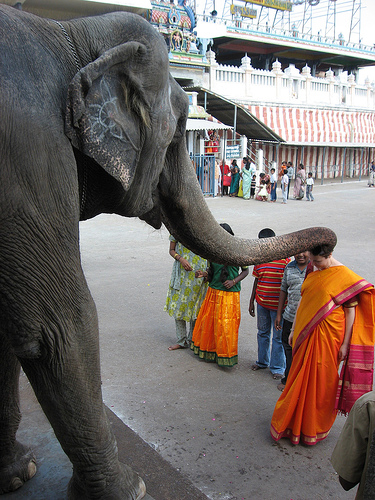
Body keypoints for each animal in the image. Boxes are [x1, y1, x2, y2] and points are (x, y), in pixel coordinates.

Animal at [0, 4, 338, 500]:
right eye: (179, 132)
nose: (325, 247)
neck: (70, 34)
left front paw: (18, 471)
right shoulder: (30, 155)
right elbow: (57, 326)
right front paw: (131, 488)